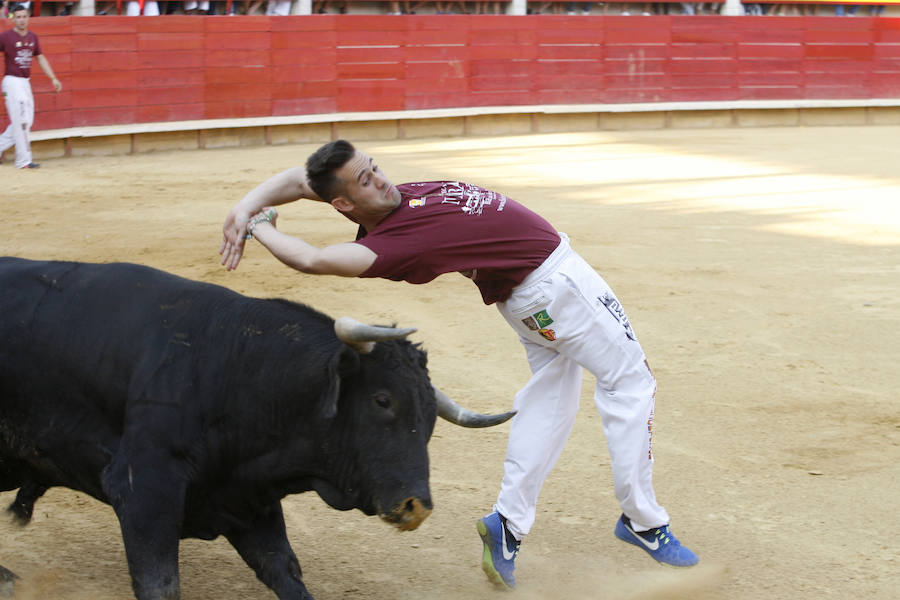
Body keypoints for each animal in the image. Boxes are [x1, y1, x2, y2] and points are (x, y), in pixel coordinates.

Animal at [0, 258, 512, 600]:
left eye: (430, 415)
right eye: (382, 400)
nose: (415, 507)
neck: (237, 367)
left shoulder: (250, 501)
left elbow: (285, 571)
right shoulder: (144, 491)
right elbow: (160, 583)